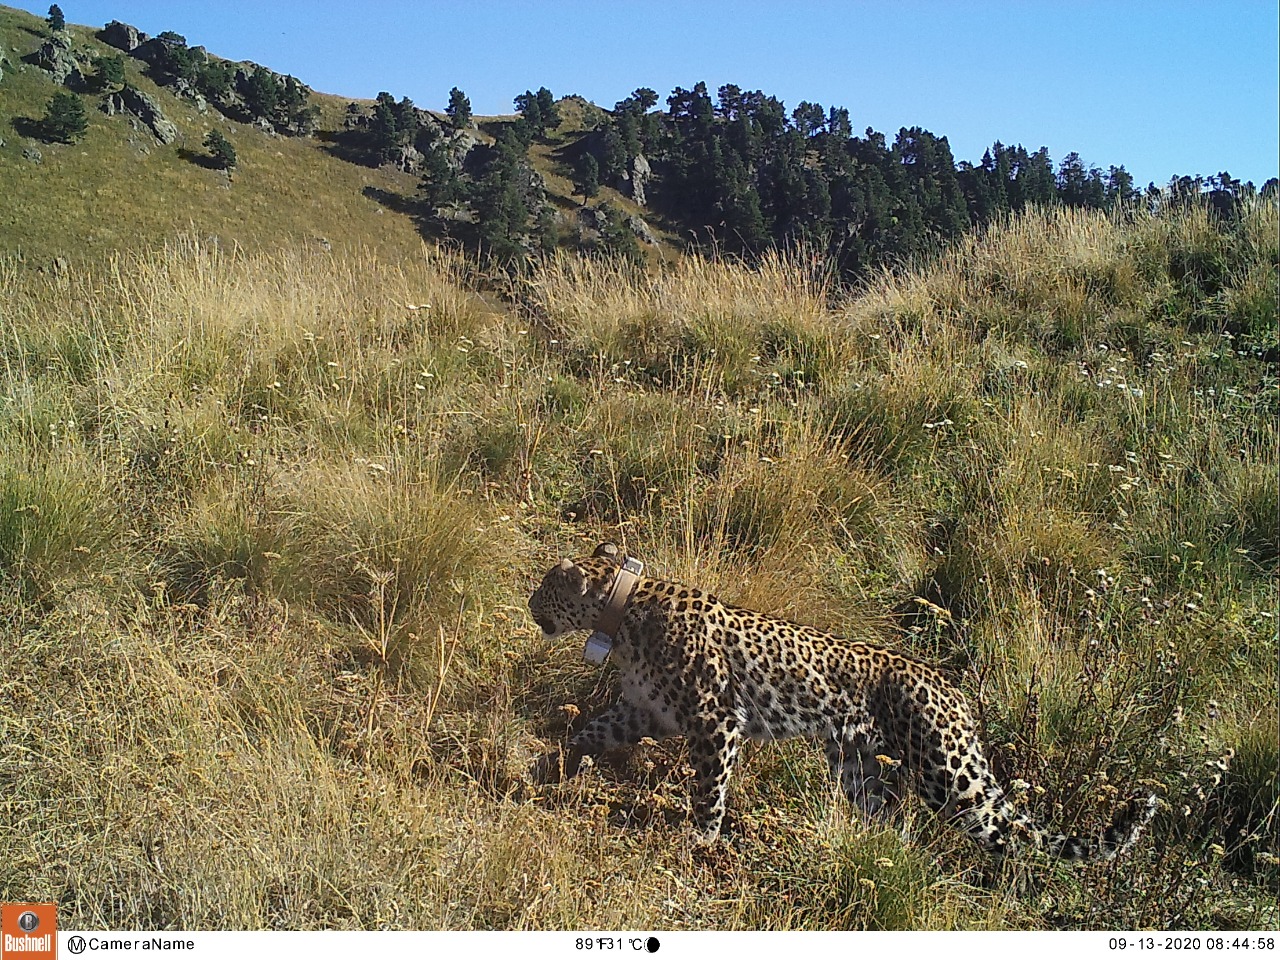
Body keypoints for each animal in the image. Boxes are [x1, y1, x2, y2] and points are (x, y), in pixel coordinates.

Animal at [529, 542, 1162, 865]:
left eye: (544, 589)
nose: (529, 602)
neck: (622, 616)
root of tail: (956, 691)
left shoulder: (716, 721)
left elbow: (710, 788)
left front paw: (702, 840)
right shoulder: (647, 711)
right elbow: (591, 730)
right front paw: (551, 766)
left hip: (948, 773)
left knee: (1013, 831)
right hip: (858, 764)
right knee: (886, 818)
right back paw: (875, 853)